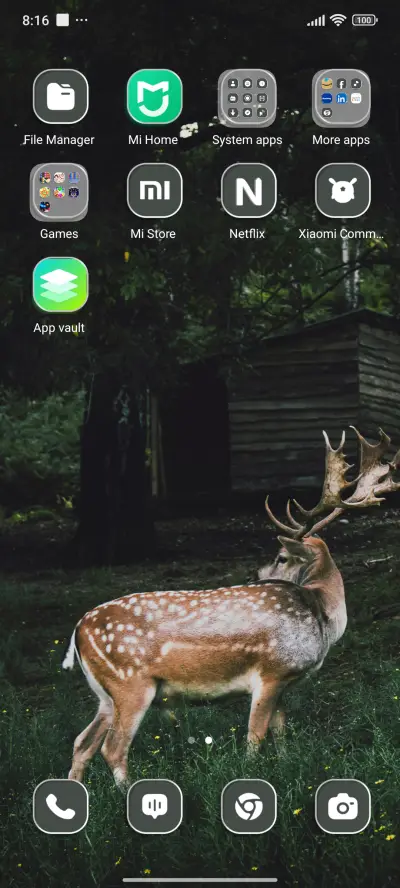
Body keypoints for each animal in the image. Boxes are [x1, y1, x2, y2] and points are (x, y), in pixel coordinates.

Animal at [62, 427, 400, 790]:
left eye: (281, 558)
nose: (257, 574)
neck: (322, 617)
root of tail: (78, 630)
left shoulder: (283, 682)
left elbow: (281, 731)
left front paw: (286, 766)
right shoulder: (271, 671)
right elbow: (255, 735)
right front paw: (250, 774)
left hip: (106, 694)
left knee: (82, 742)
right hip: (130, 683)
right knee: (113, 747)